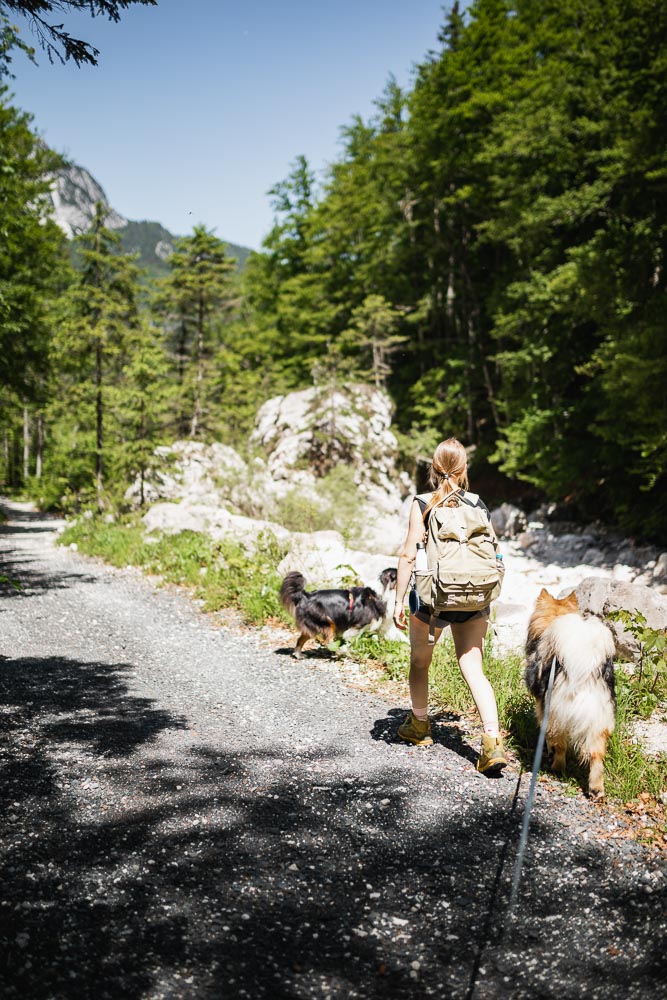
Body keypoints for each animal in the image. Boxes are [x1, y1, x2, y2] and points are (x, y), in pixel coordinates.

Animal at [528, 588, 616, 800]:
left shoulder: (543, 707)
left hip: (557, 714)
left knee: (561, 746)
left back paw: (557, 767)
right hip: (599, 720)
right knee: (596, 755)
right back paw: (596, 789)